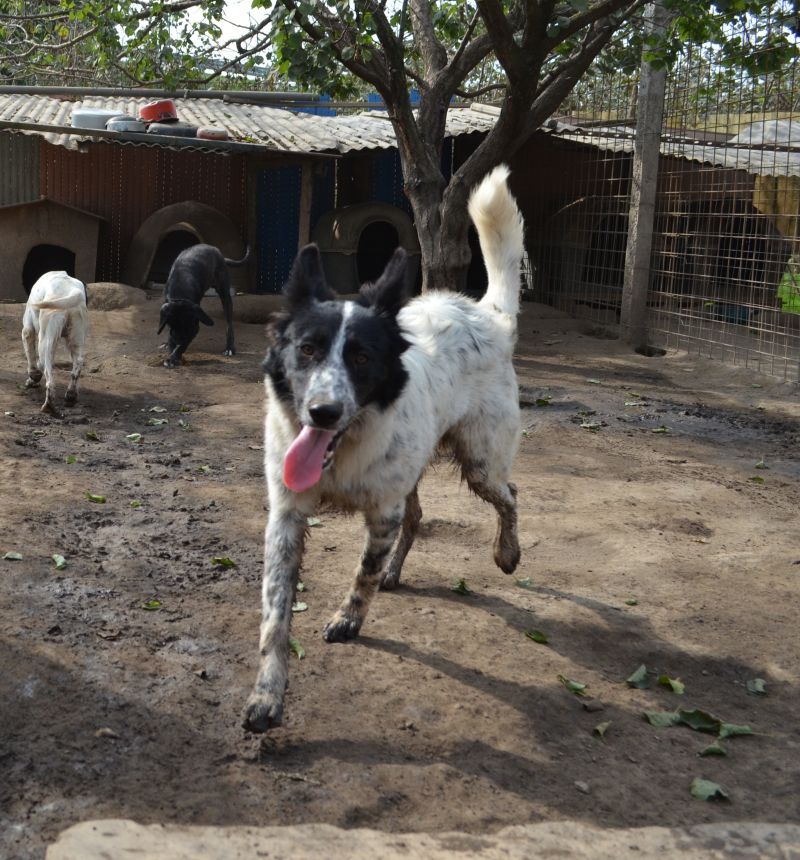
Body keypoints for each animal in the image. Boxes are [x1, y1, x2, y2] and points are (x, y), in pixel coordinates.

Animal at [21, 268, 89, 416]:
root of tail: (73, 292)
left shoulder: (28, 330)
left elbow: (33, 361)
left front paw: (32, 378)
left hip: (46, 339)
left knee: (50, 378)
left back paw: (49, 406)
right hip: (76, 338)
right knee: (78, 364)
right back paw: (71, 395)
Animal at [247, 163, 528, 732]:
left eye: (361, 357)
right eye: (306, 350)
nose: (322, 412)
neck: (340, 456)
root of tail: (488, 315)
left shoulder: (381, 513)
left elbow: (363, 573)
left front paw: (348, 618)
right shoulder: (285, 517)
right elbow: (275, 616)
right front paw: (267, 694)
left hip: (480, 462)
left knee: (510, 495)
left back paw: (506, 553)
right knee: (418, 516)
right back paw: (400, 572)